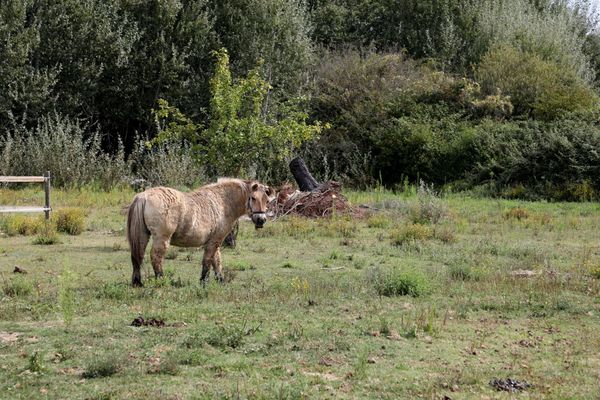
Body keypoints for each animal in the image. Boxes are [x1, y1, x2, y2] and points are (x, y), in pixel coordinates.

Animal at [129, 179, 274, 288]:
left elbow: (217, 261)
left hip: (143, 236)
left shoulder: (214, 241)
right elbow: (208, 261)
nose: (261, 220)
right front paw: (204, 281)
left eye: (267, 200)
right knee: (156, 258)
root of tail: (143, 196)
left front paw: (220, 280)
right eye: (253, 198)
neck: (223, 202)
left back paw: (137, 282)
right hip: (162, 239)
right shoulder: (215, 241)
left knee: (138, 256)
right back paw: (162, 280)